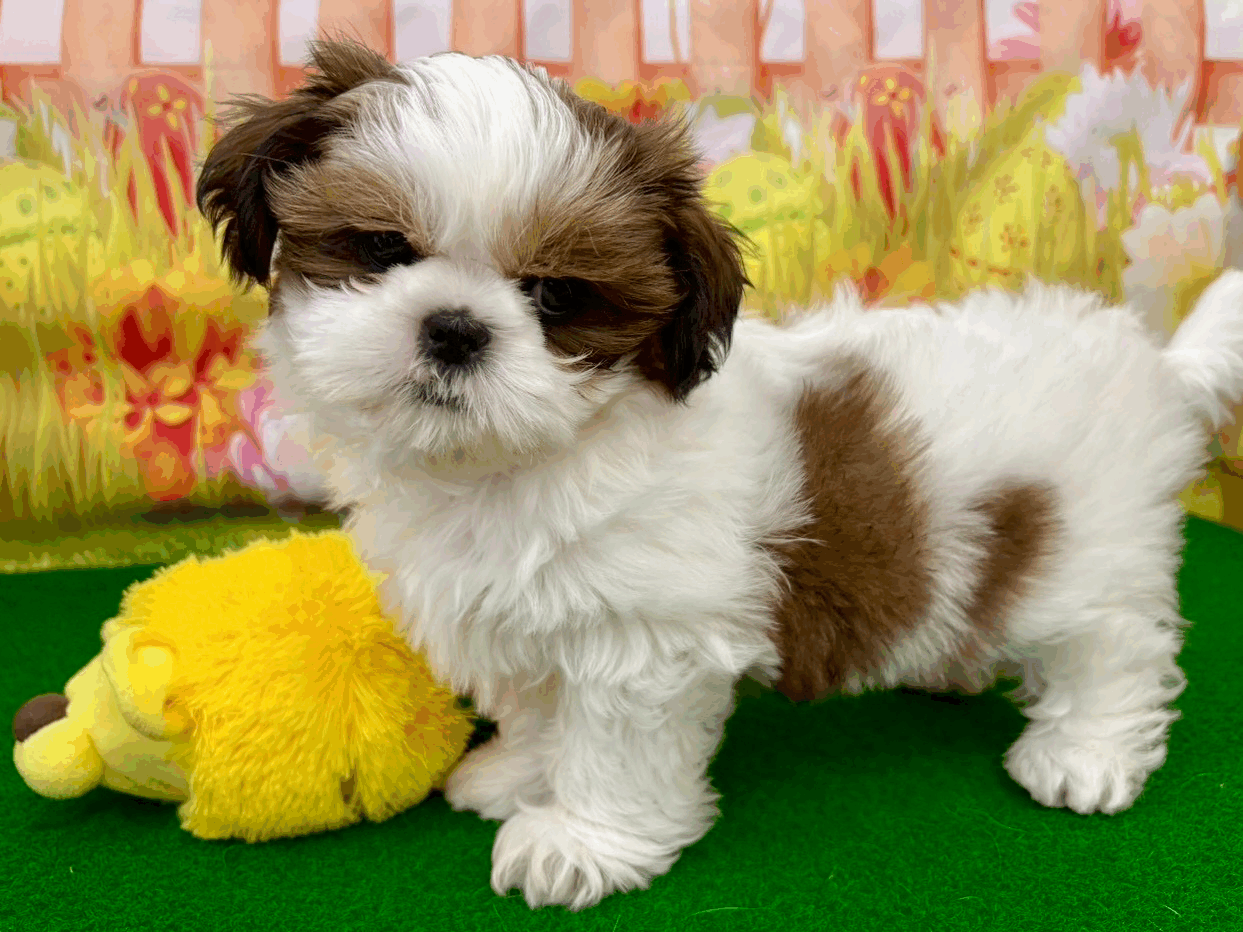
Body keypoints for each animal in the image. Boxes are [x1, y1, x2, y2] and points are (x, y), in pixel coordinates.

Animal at [197, 40, 1243, 910]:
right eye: (381, 249)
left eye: (557, 296)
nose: (454, 327)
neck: (523, 460)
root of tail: (1150, 360)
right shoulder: (523, 613)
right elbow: (542, 705)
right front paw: (520, 775)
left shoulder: (643, 636)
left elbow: (613, 743)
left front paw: (579, 841)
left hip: (1088, 544)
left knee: (1114, 643)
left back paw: (1085, 748)